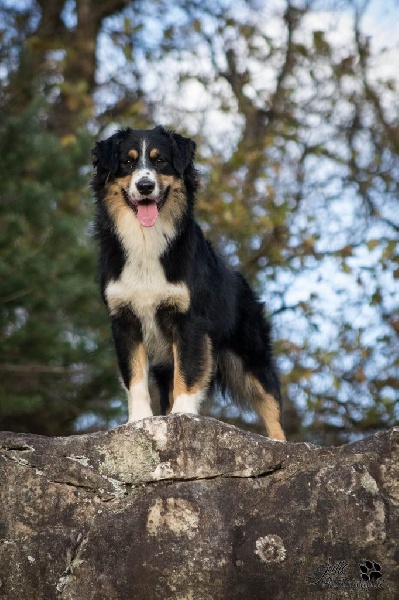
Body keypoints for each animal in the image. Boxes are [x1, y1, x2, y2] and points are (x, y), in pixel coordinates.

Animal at [92, 125, 286, 440]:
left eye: (160, 161)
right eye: (127, 162)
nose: (145, 186)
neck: (146, 241)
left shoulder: (189, 320)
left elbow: (189, 372)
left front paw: (182, 415)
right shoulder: (124, 319)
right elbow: (135, 378)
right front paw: (138, 421)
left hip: (252, 357)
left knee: (272, 409)